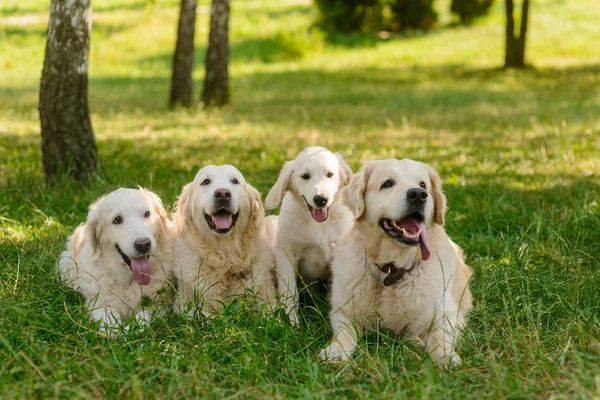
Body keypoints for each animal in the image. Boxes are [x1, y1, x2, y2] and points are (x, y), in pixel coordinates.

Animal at [58, 189, 175, 332]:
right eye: (117, 220)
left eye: (147, 214)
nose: (143, 244)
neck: (128, 278)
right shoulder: (97, 302)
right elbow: (108, 317)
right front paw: (115, 331)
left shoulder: (160, 303)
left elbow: (143, 316)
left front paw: (131, 329)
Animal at [172, 164, 278, 314]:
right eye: (205, 182)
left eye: (235, 181)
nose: (222, 194)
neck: (225, 258)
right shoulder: (184, 305)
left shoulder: (268, 299)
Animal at [264, 147, 354, 324]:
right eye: (305, 176)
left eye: (330, 174)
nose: (321, 199)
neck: (319, 224)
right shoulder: (286, 253)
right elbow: (289, 290)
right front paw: (290, 319)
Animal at [318, 158, 474, 368]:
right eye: (387, 183)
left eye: (423, 184)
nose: (418, 195)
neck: (392, 267)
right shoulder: (342, 310)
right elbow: (345, 332)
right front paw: (336, 351)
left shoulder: (449, 313)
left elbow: (440, 335)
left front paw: (445, 356)